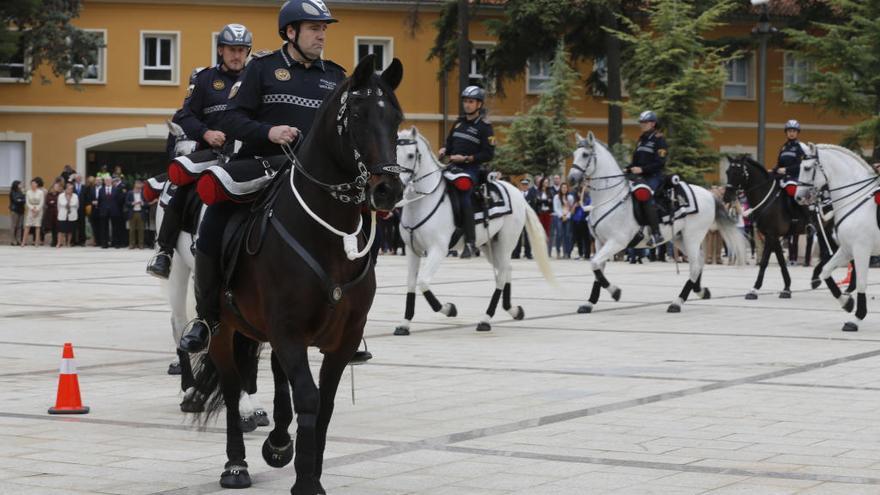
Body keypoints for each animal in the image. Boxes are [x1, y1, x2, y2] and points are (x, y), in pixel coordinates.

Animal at [156, 121, 268, 430]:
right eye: (174, 149)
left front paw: (252, 405)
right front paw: (240, 406)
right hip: (179, 272)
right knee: (178, 323)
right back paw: (189, 387)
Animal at [189, 56, 406, 494]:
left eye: (396, 118)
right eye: (358, 115)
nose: (388, 189)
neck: (328, 236)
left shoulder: (341, 340)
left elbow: (325, 402)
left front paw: (308, 467)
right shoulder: (287, 330)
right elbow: (307, 396)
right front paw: (305, 480)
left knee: (273, 375)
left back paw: (277, 441)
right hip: (222, 330)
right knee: (234, 385)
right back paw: (236, 464)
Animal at [396, 129, 552, 334]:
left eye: (410, 155)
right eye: (395, 152)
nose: (399, 184)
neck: (423, 201)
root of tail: (518, 193)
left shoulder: (438, 249)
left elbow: (423, 282)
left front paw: (449, 309)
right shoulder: (412, 249)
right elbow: (411, 283)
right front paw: (404, 324)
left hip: (506, 242)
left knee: (502, 274)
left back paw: (486, 319)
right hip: (490, 245)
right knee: (506, 270)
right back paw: (513, 310)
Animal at [568, 132, 744, 314]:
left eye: (585, 154)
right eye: (574, 154)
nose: (571, 179)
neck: (610, 198)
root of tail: (709, 194)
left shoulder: (617, 242)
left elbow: (594, 263)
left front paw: (615, 292)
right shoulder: (600, 241)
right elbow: (597, 269)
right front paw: (589, 303)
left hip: (692, 237)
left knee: (695, 265)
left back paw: (677, 302)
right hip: (679, 238)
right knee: (699, 261)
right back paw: (700, 291)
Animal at [796, 144, 876, 334]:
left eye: (807, 168)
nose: (798, 197)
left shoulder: (861, 249)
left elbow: (861, 282)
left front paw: (856, 318)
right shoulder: (846, 250)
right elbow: (825, 270)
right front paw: (847, 303)